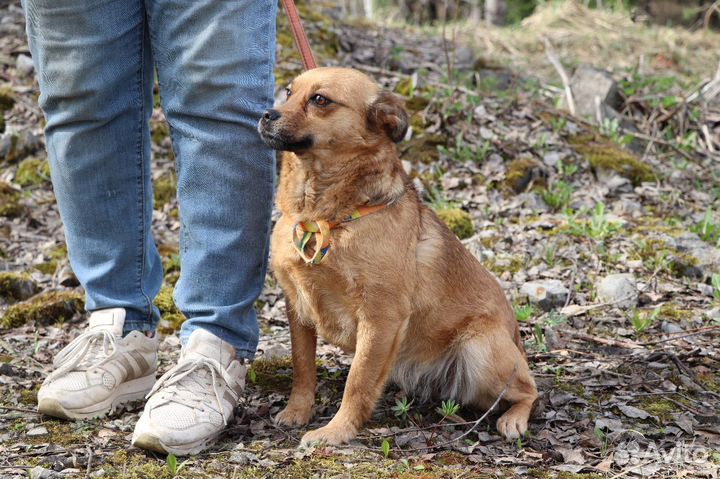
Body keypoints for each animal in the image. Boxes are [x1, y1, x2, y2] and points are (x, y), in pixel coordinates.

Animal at [258, 67, 536, 446]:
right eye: (288, 91)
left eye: (319, 100)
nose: (265, 115)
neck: (324, 216)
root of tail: (517, 342)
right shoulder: (297, 308)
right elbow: (303, 368)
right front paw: (297, 411)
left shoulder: (380, 318)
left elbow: (357, 382)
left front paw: (337, 430)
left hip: (481, 349)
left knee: (529, 389)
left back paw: (514, 419)